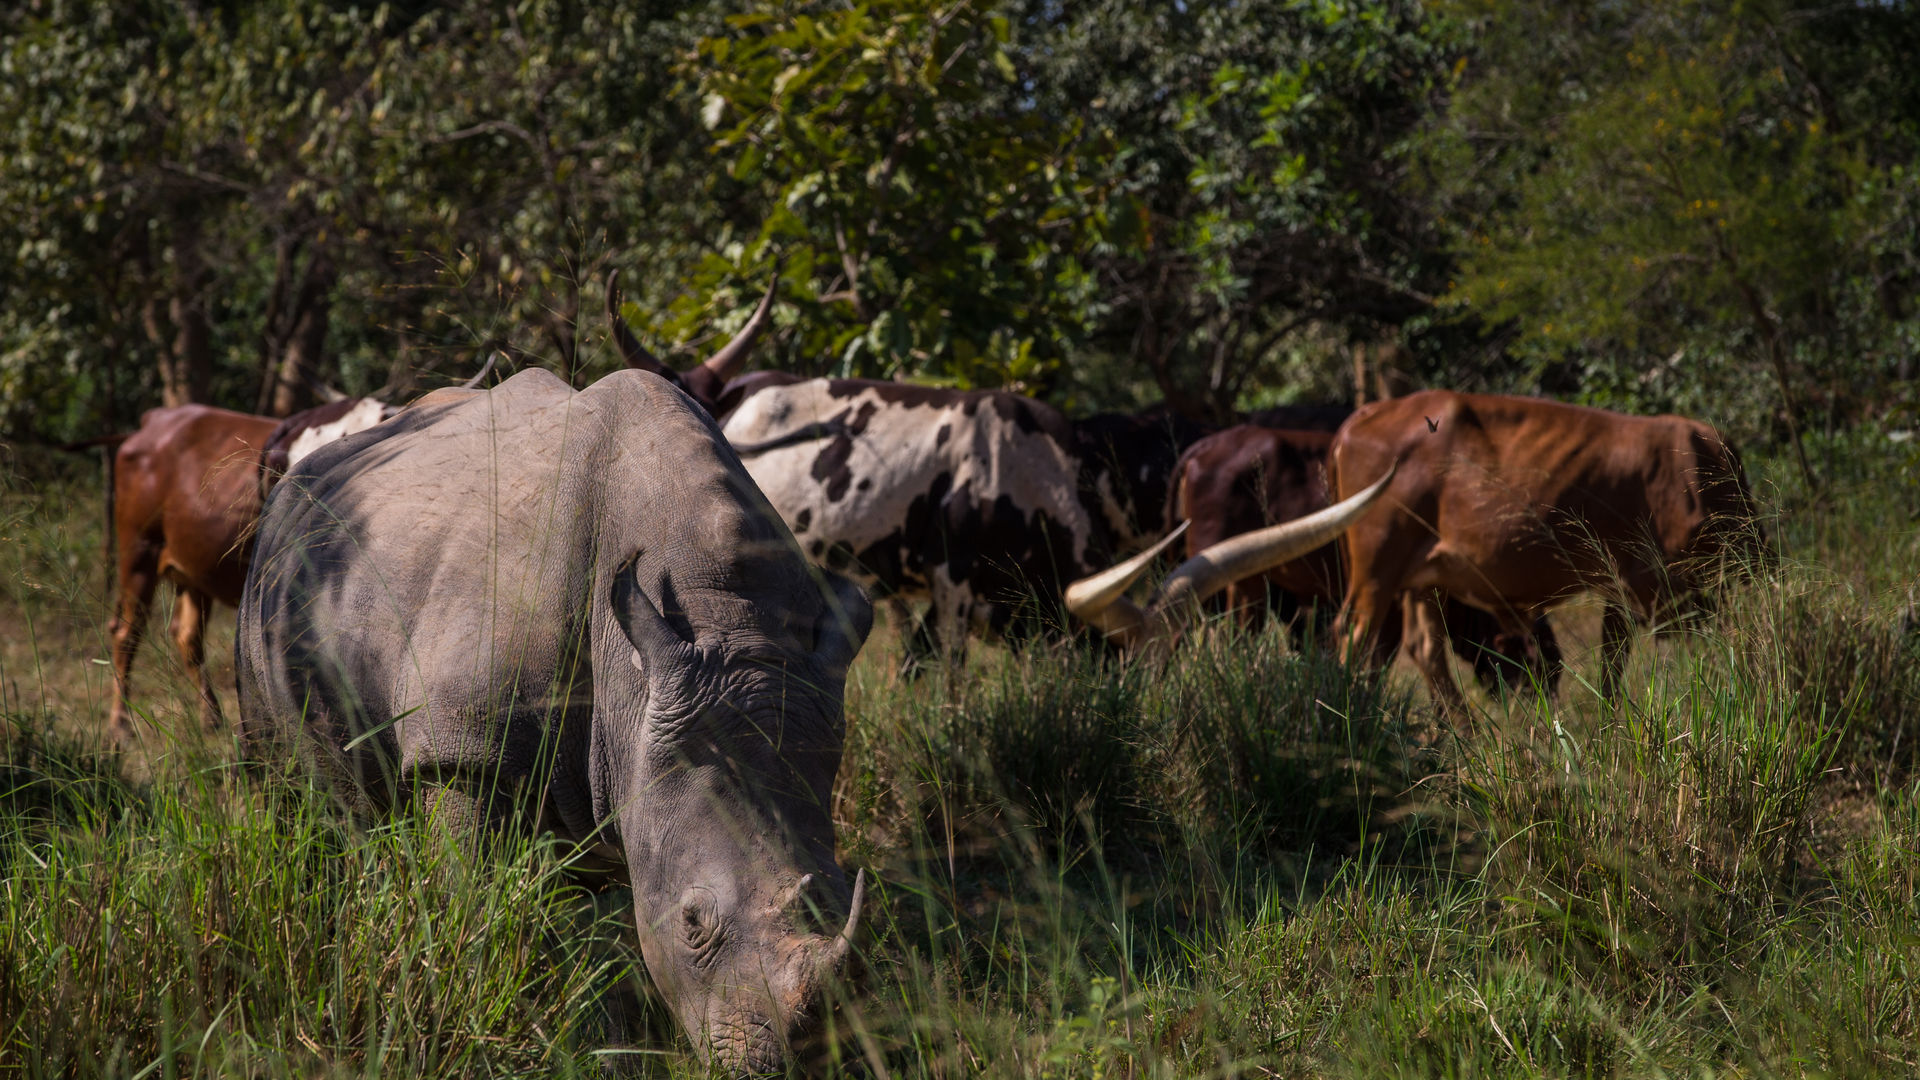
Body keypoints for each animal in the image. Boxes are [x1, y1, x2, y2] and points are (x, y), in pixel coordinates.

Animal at [236, 367, 875, 1068]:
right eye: (691, 922)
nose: (790, 1064)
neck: (725, 620)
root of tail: (291, 477)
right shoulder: (464, 746)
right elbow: (471, 895)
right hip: (269, 590)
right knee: (303, 794)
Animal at [1328, 386, 1758, 707]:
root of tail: (1365, 414)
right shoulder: (1660, 587)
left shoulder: (1623, 587)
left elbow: (1611, 670)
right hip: (1376, 570)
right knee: (1355, 640)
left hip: (1423, 577)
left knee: (1425, 648)